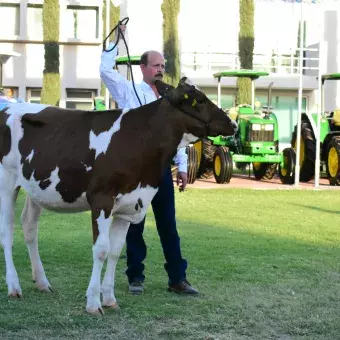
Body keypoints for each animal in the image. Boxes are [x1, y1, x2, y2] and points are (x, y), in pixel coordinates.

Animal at [0, 77, 236, 314]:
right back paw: (14, 286)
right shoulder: (101, 199)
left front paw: (109, 299)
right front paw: (93, 303)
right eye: (199, 100)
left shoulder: (130, 205)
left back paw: (42, 282)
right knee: (7, 231)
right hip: (6, 183)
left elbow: (114, 251)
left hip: (36, 188)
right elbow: (101, 250)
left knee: (29, 227)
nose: (233, 125)